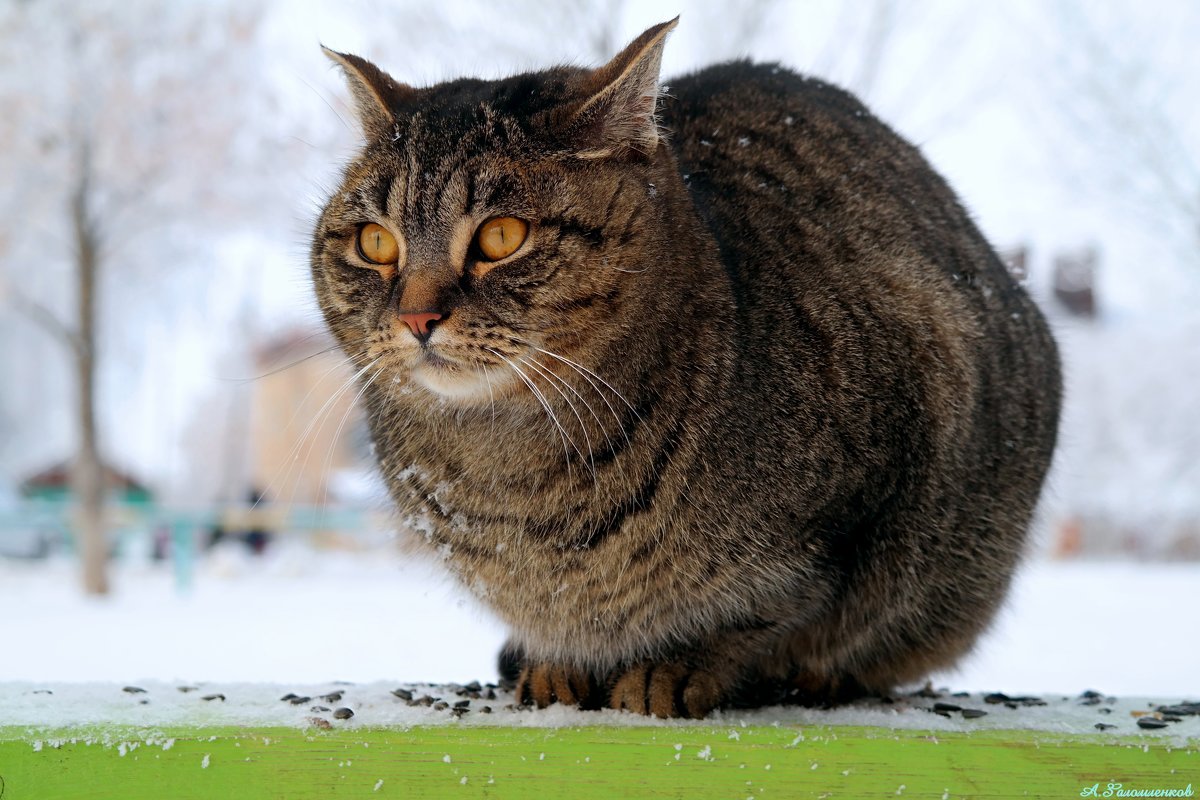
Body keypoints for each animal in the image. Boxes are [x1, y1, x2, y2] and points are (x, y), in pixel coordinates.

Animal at [312, 18, 1060, 719]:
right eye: (375, 243)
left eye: (501, 237)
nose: (416, 317)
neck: (514, 483)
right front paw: (556, 663)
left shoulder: (850, 516)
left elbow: (771, 616)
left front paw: (677, 667)